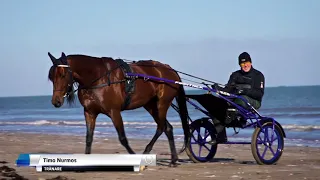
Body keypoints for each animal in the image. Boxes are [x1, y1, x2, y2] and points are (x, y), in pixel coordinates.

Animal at [47, 51, 190, 166]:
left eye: (62, 75)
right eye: (51, 77)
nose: (56, 101)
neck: (98, 77)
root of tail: (169, 69)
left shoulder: (114, 112)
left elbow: (122, 138)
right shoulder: (89, 112)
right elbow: (89, 138)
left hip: (162, 103)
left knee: (161, 127)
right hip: (150, 105)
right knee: (168, 128)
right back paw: (173, 159)